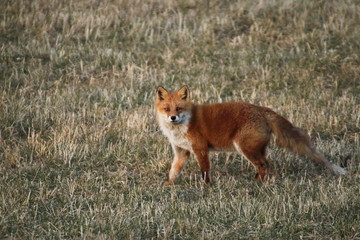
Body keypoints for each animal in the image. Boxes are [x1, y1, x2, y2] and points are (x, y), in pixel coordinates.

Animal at [155, 86, 346, 186]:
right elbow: (173, 171)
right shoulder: (182, 152)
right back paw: (257, 181)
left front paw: (206, 187)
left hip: (245, 147)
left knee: (264, 164)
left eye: (179, 108)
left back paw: (256, 184)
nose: (173, 117)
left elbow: (205, 170)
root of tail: (263, 110)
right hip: (256, 148)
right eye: (167, 109)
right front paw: (168, 185)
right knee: (265, 164)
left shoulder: (200, 148)